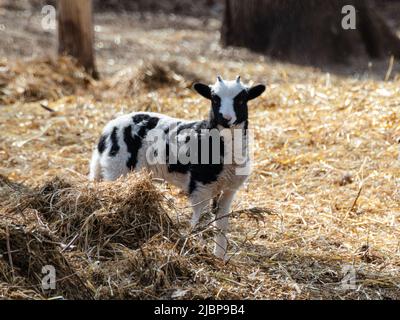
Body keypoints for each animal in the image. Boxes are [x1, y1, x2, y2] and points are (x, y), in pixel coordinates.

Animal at [89, 76, 268, 258]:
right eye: (215, 99)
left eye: (241, 99)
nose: (226, 118)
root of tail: (107, 131)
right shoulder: (200, 187)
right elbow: (199, 223)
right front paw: (196, 250)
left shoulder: (229, 189)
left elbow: (222, 224)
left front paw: (219, 256)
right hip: (117, 169)